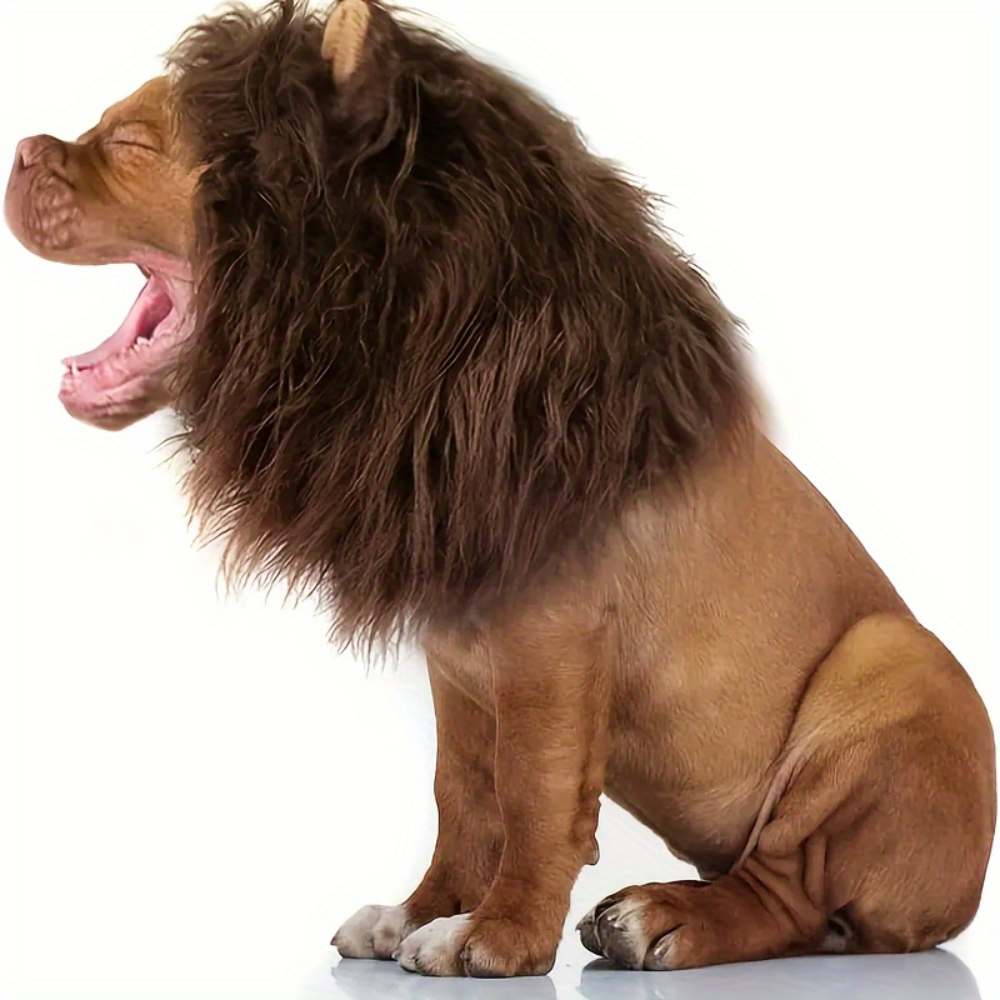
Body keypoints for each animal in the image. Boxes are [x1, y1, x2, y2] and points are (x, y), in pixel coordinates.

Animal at [5, 0, 994, 980]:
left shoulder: (549, 643)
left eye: (128, 142)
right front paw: (420, 913)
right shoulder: (456, 662)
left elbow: (534, 793)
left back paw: (660, 917)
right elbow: (463, 797)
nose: (19, 149)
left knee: (782, 892)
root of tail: (962, 898)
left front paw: (500, 937)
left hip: (892, 664)